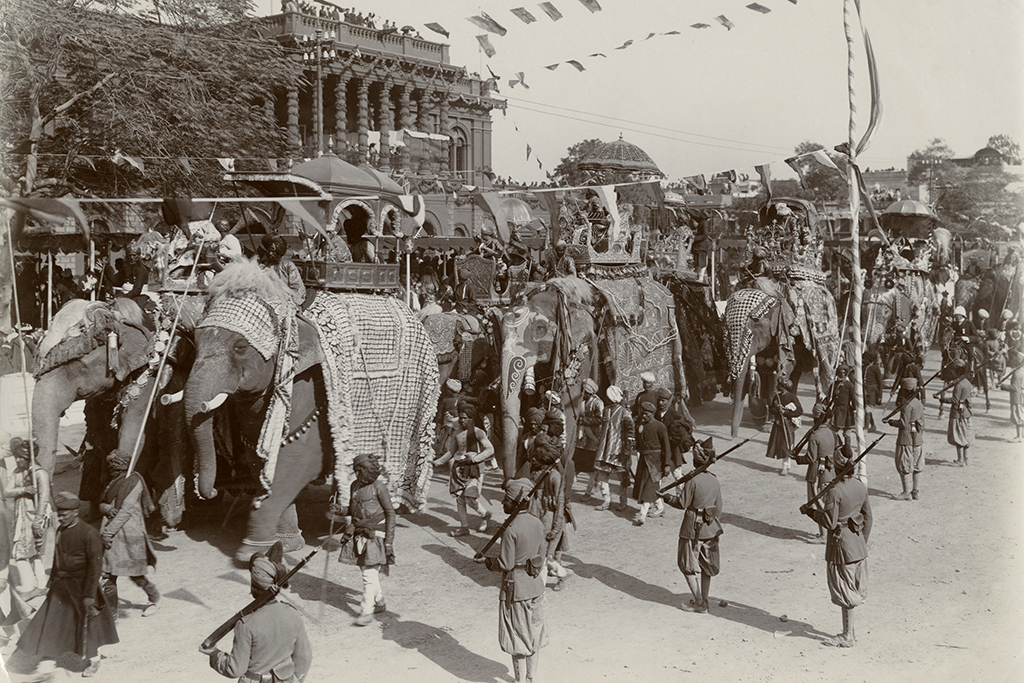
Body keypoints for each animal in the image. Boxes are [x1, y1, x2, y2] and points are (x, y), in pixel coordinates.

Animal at [184, 259, 440, 565]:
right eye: (195, 340)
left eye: (241, 347)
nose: (210, 492)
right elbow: (262, 460)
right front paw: (286, 545)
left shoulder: (310, 390)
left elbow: (296, 464)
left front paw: (249, 553)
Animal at [493, 274, 692, 483]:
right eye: (500, 332)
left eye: (540, 329)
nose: (508, 481)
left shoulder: (585, 344)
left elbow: (567, 406)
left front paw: (557, 467)